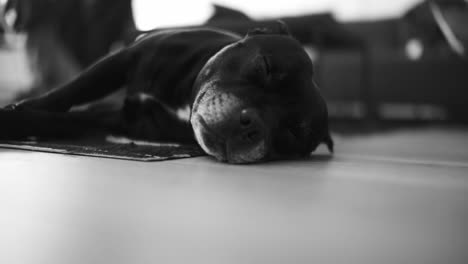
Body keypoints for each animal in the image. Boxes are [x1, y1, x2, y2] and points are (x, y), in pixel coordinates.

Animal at [1, 22, 334, 163]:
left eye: (292, 132)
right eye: (265, 66)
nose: (250, 125)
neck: (185, 99)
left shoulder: (127, 121)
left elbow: (63, 121)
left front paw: (15, 121)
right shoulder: (123, 59)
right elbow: (69, 92)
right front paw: (21, 107)